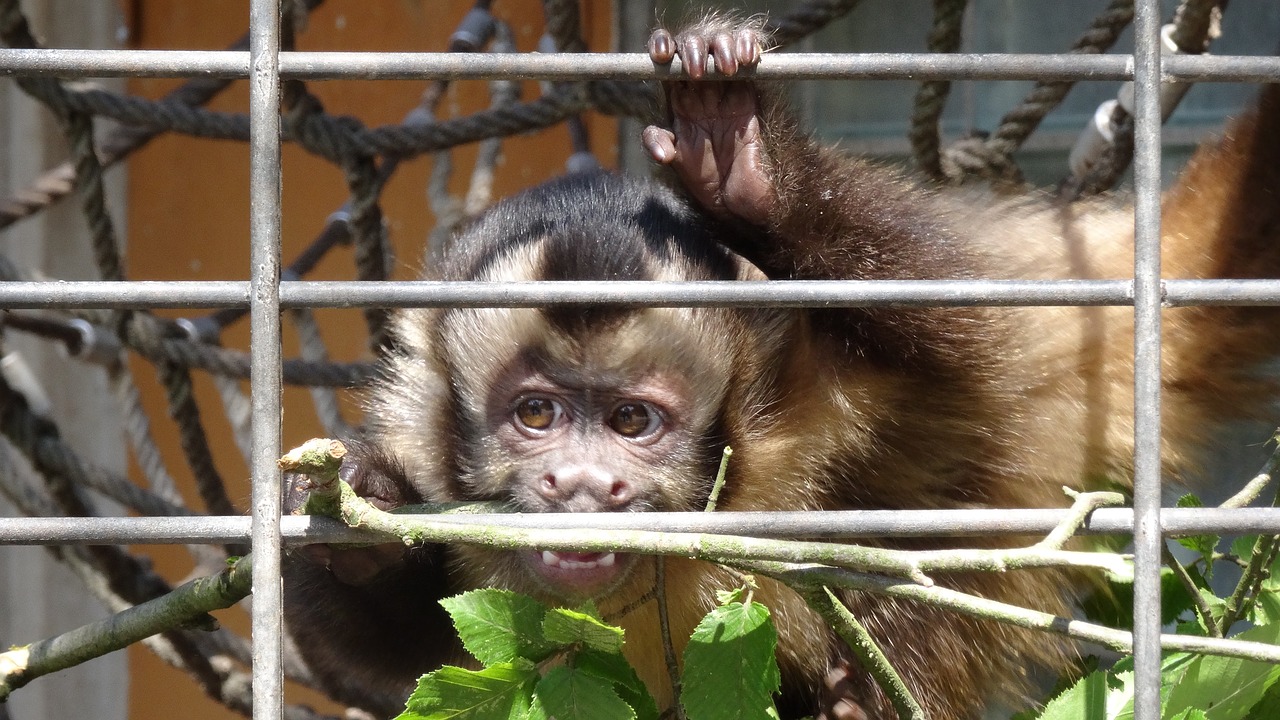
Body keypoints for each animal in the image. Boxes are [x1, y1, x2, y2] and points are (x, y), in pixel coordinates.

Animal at [285, 15, 1280, 717]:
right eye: (536, 415)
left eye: (633, 422)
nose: (582, 484)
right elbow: (397, 659)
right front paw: (357, 515)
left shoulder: (814, 384)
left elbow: (962, 336)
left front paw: (749, 176)